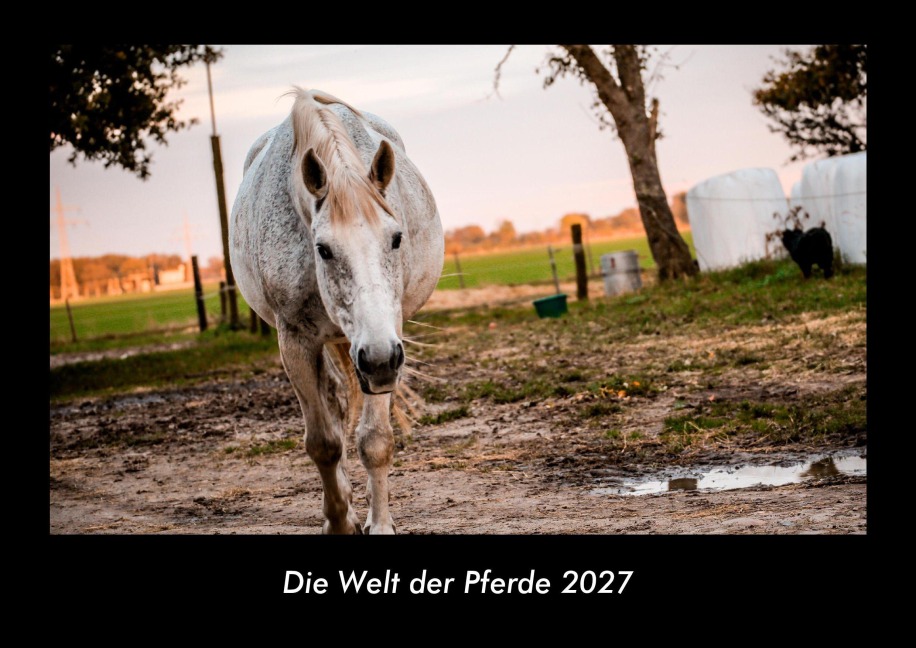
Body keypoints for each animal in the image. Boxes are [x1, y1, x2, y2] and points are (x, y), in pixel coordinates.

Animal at [229, 88, 444, 534]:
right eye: (323, 249)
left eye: (396, 238)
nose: (378, 359)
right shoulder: (295, 341)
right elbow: (324, 443)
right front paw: (341, 520)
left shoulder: (388, 342)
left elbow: (375, 441)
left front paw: (379, 523)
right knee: (333, 404)